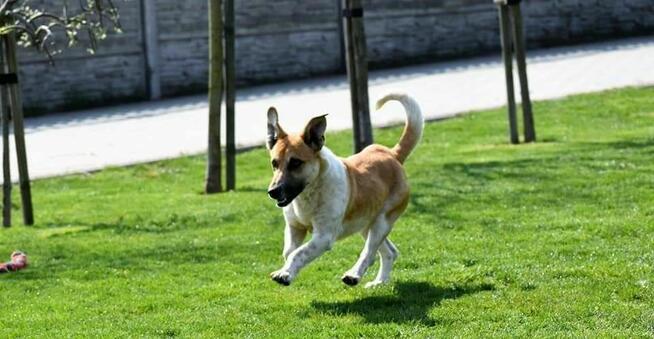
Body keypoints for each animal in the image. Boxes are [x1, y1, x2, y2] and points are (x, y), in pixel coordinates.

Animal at [266, 93, 426, 290]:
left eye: (295, 162)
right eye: (274, 163)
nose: (273, 191)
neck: (309, 194)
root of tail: (392, 154)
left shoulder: (324, 236)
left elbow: (299, 253)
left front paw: (284, 274)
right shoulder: (294, 227)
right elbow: (289, 252)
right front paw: (286, 270)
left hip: (382, 221)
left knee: (369, 253)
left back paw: (353, 275)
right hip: (365, 223)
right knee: (390, 252)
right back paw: (379, 282)